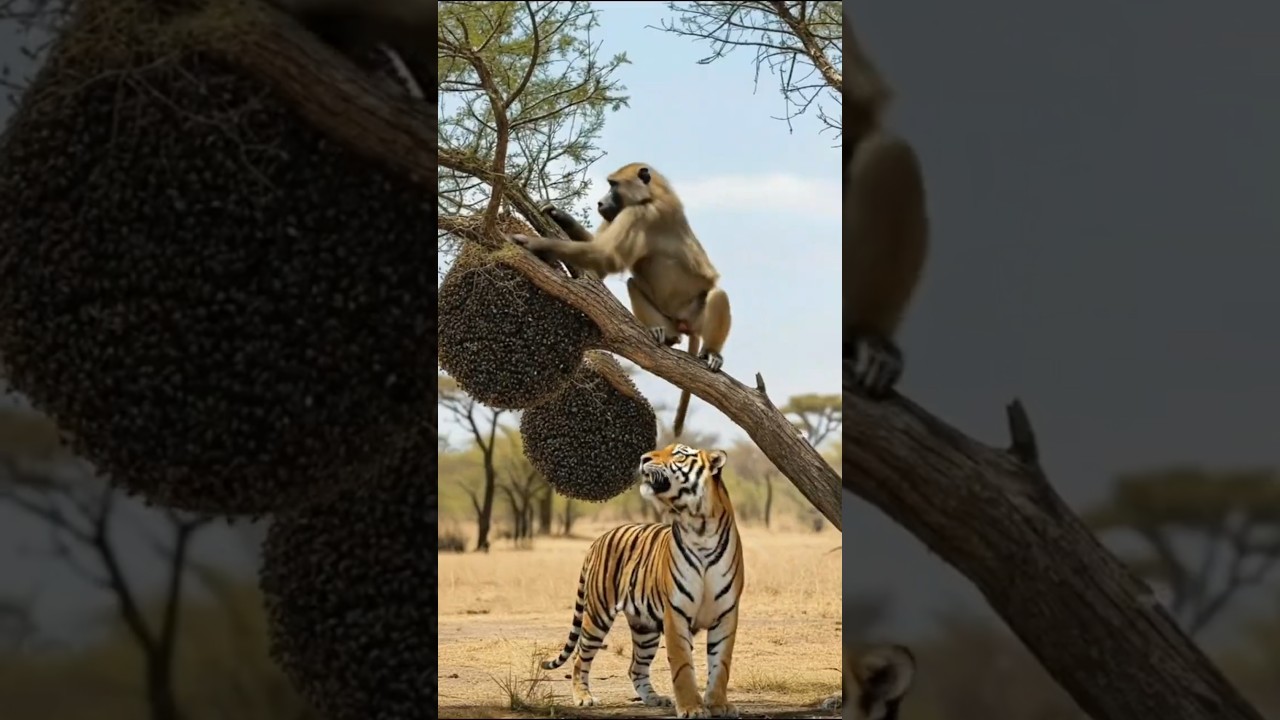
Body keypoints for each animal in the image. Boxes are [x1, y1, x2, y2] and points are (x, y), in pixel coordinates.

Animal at [508, 164, 731, 438]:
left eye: (613, 186)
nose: (601, 203)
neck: (652, 195)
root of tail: (683, 325)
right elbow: (601, 261)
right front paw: (558, 215)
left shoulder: (641, 214)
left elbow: (606, 258)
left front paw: (534, 244)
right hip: (669, 319)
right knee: (633, 284)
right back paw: (663, 334)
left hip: (695, 312)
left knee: (717, 294)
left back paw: (712, 353)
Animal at [540, 442, 745, 718]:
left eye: (679, 454)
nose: (643, 458)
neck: (699, 524)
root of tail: (599, 538)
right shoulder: (676, 613)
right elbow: (682, 666)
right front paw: (691, 708)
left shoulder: (726, 613)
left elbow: (721, 664)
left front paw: (718, 704)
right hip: (598, 615)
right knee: (580, 656)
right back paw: (583, 697)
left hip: (644, 628)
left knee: (635, 667)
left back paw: (655, 699)